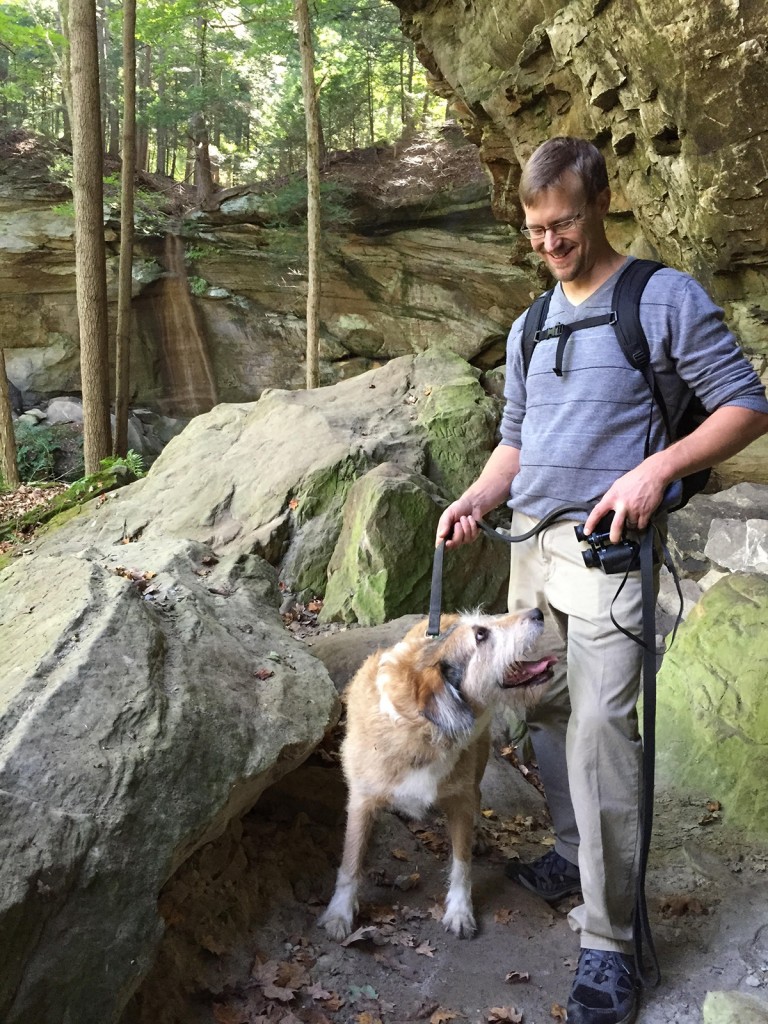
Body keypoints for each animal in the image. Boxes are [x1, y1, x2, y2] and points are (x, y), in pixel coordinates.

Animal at [319, 606, 561, 942]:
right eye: (480, 634)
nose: (538, 612)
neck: (424, 730)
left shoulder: (458, 800)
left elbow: (461, 863)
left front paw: (460, 911)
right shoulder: (361, 800)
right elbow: (351, 860)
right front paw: (340, 912)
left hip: (478, 763)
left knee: (477, 796)